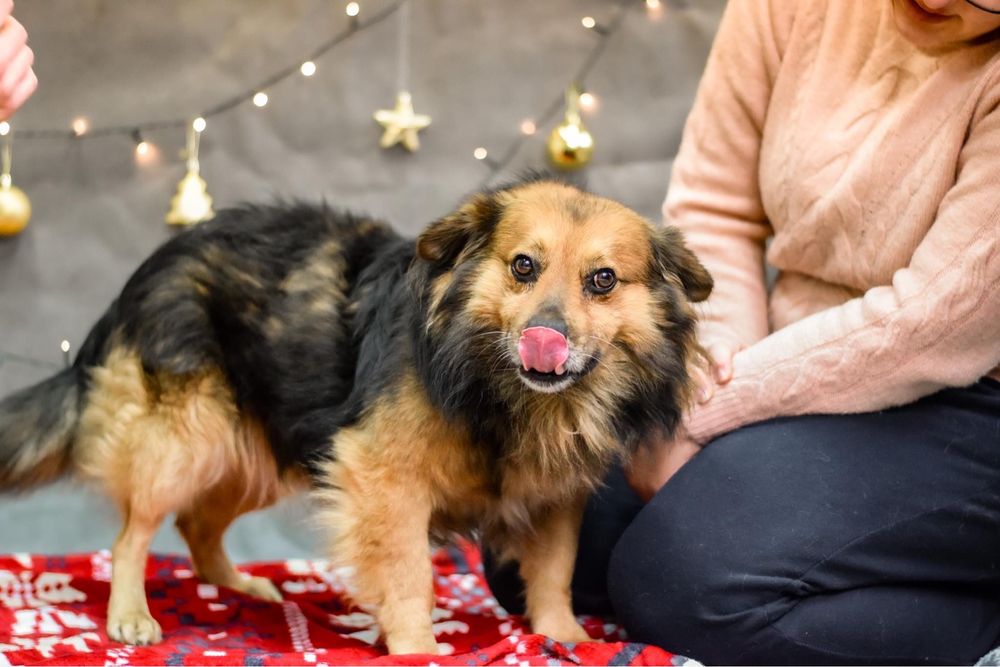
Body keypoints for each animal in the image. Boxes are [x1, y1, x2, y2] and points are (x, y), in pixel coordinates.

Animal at [0, 176, 712, 652]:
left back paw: (236, 587)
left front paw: (566, 638)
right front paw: (419, 650)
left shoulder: (557, 495)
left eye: (603, 280)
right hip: (187, 439)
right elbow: (410, 576)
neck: (505, 392)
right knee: (133, 534)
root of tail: (144, 273)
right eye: (523, 266)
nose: (547, 336)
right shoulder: (385, 482)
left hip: (259, 447)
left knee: (197, 523)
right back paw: (131, 614)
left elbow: (555, 573)